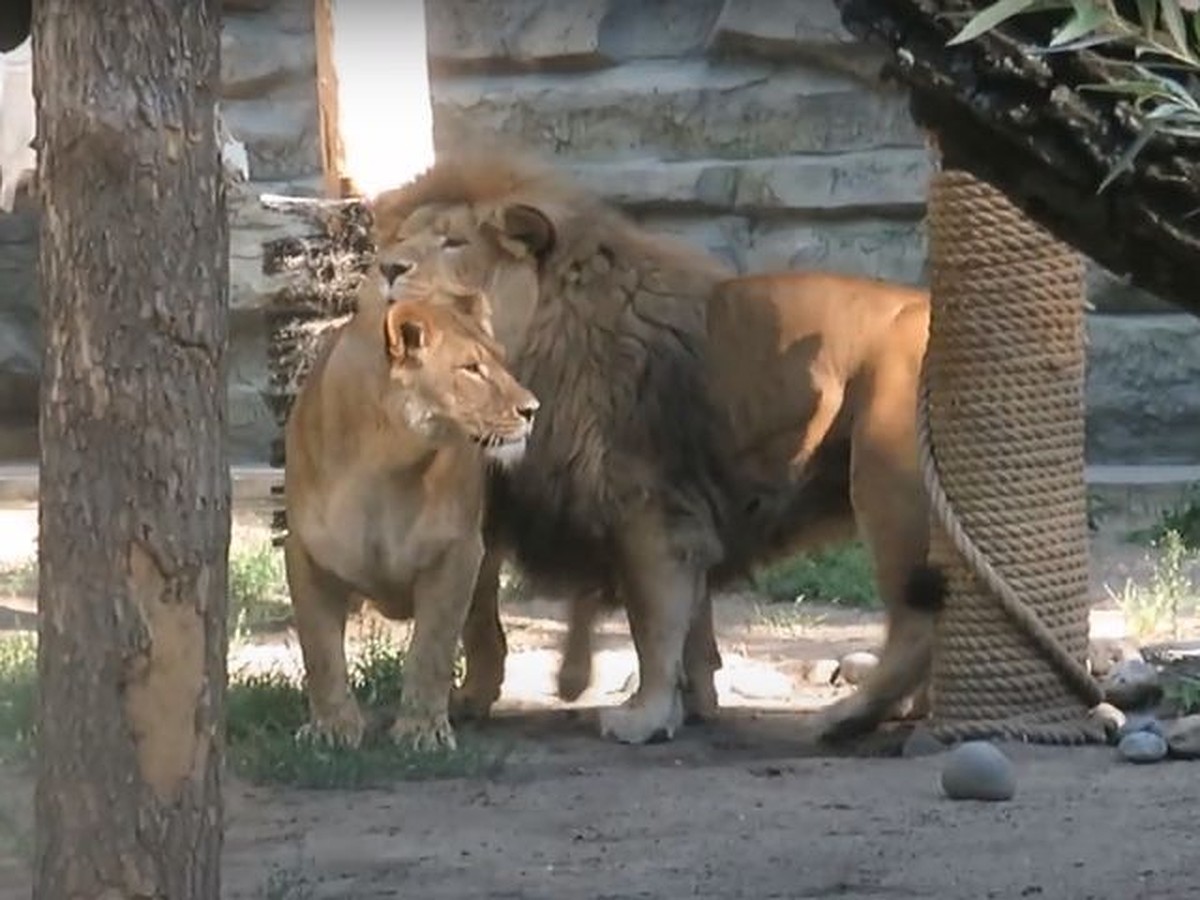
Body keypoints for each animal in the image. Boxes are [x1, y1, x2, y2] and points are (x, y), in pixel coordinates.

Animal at [283, 290, 537, 753]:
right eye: (471, 368)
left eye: (502, 360)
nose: (532, 409)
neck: (383, 464)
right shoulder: (306, 552)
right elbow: (320, 649)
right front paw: (330, 728)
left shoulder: (456, 553)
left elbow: (431, 648)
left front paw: (422, 730)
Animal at [367, 154, 945, 748]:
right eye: (404, 237)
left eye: (454, 241)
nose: (387, 268)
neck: (539, 328)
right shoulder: (682, 517)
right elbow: (690, 627)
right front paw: (692, 705)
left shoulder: (648, 511)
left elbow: (654, 623)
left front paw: (644, 716)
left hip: (887, 486)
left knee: (918, 627)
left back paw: (845, 718)